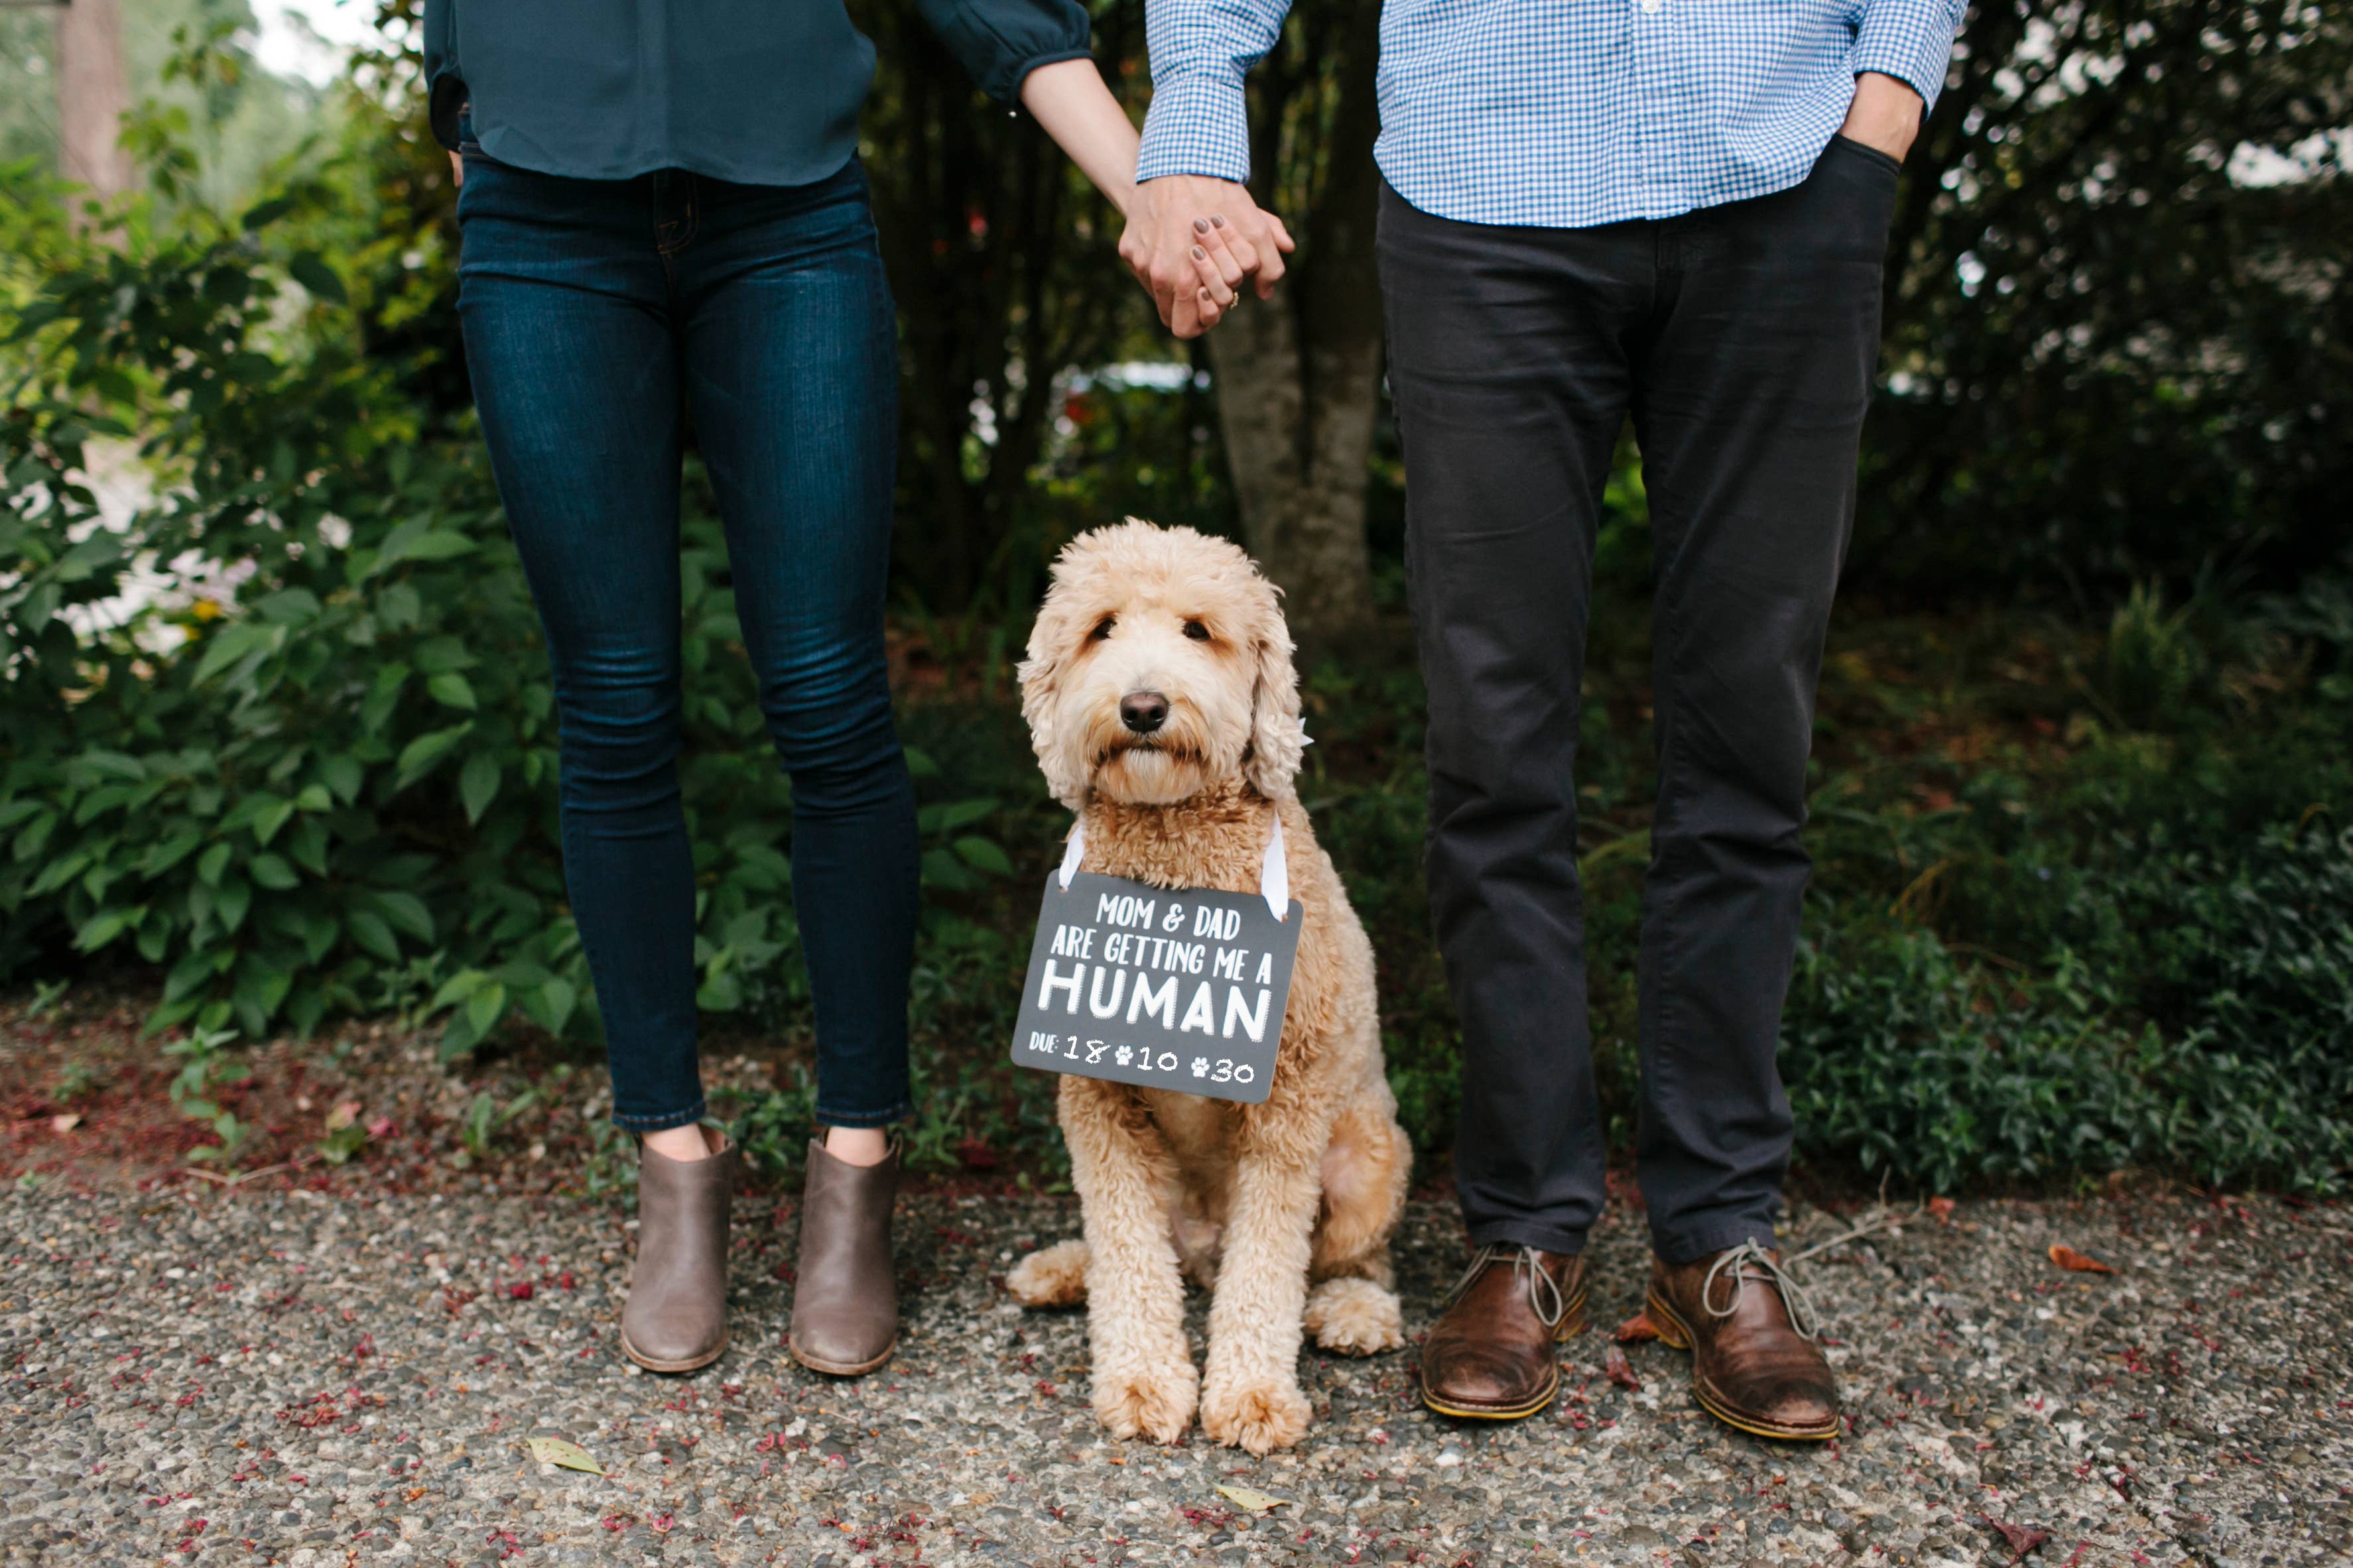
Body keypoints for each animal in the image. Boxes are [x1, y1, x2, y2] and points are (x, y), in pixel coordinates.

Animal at [997, 522, 1402, 1457]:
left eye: (1198, 629)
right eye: (1101, 628)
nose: (1143, 707)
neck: (1174, 852)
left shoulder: (1284, 1111)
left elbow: (1269, 1265)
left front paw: (1250, 1394)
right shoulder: (1098, 1104)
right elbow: (1128, 1255)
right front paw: (1143, 1381)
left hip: (1369, 1158)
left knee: (1347, 1257)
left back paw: (1353, 1310)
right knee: (1156, 1255)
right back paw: (1065, 1267)